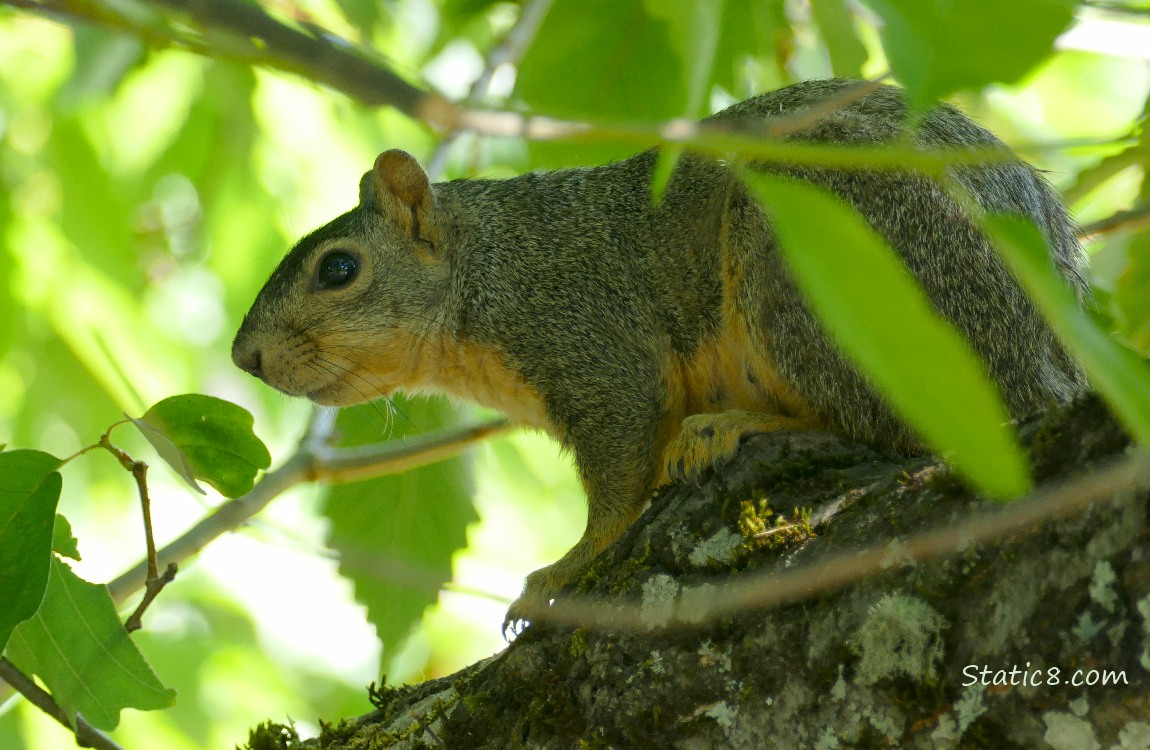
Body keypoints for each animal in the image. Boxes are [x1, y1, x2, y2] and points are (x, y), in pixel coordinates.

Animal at [231, 78, 1090, 629]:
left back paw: (736, 427)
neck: (491, 268)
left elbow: (619, 479)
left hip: (821, 264)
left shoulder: (592, 339)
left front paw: (566, 567)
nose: (245, 356)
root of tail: (1046, 362)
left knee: (885, 428)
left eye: (339, 269)